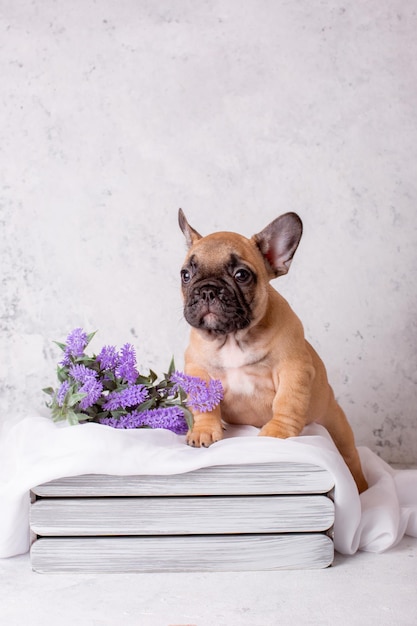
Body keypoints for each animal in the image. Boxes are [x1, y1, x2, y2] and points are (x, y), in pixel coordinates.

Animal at [179, 210, 368, 492]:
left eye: (241, 275)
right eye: (186, 275)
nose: (207, 290)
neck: (232, 338)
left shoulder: (293, 368)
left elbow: (287, 402)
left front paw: (278, 433)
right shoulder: (197, 369)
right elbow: (204, 404)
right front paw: (203, 430)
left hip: (336, 426)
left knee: (350, 457)